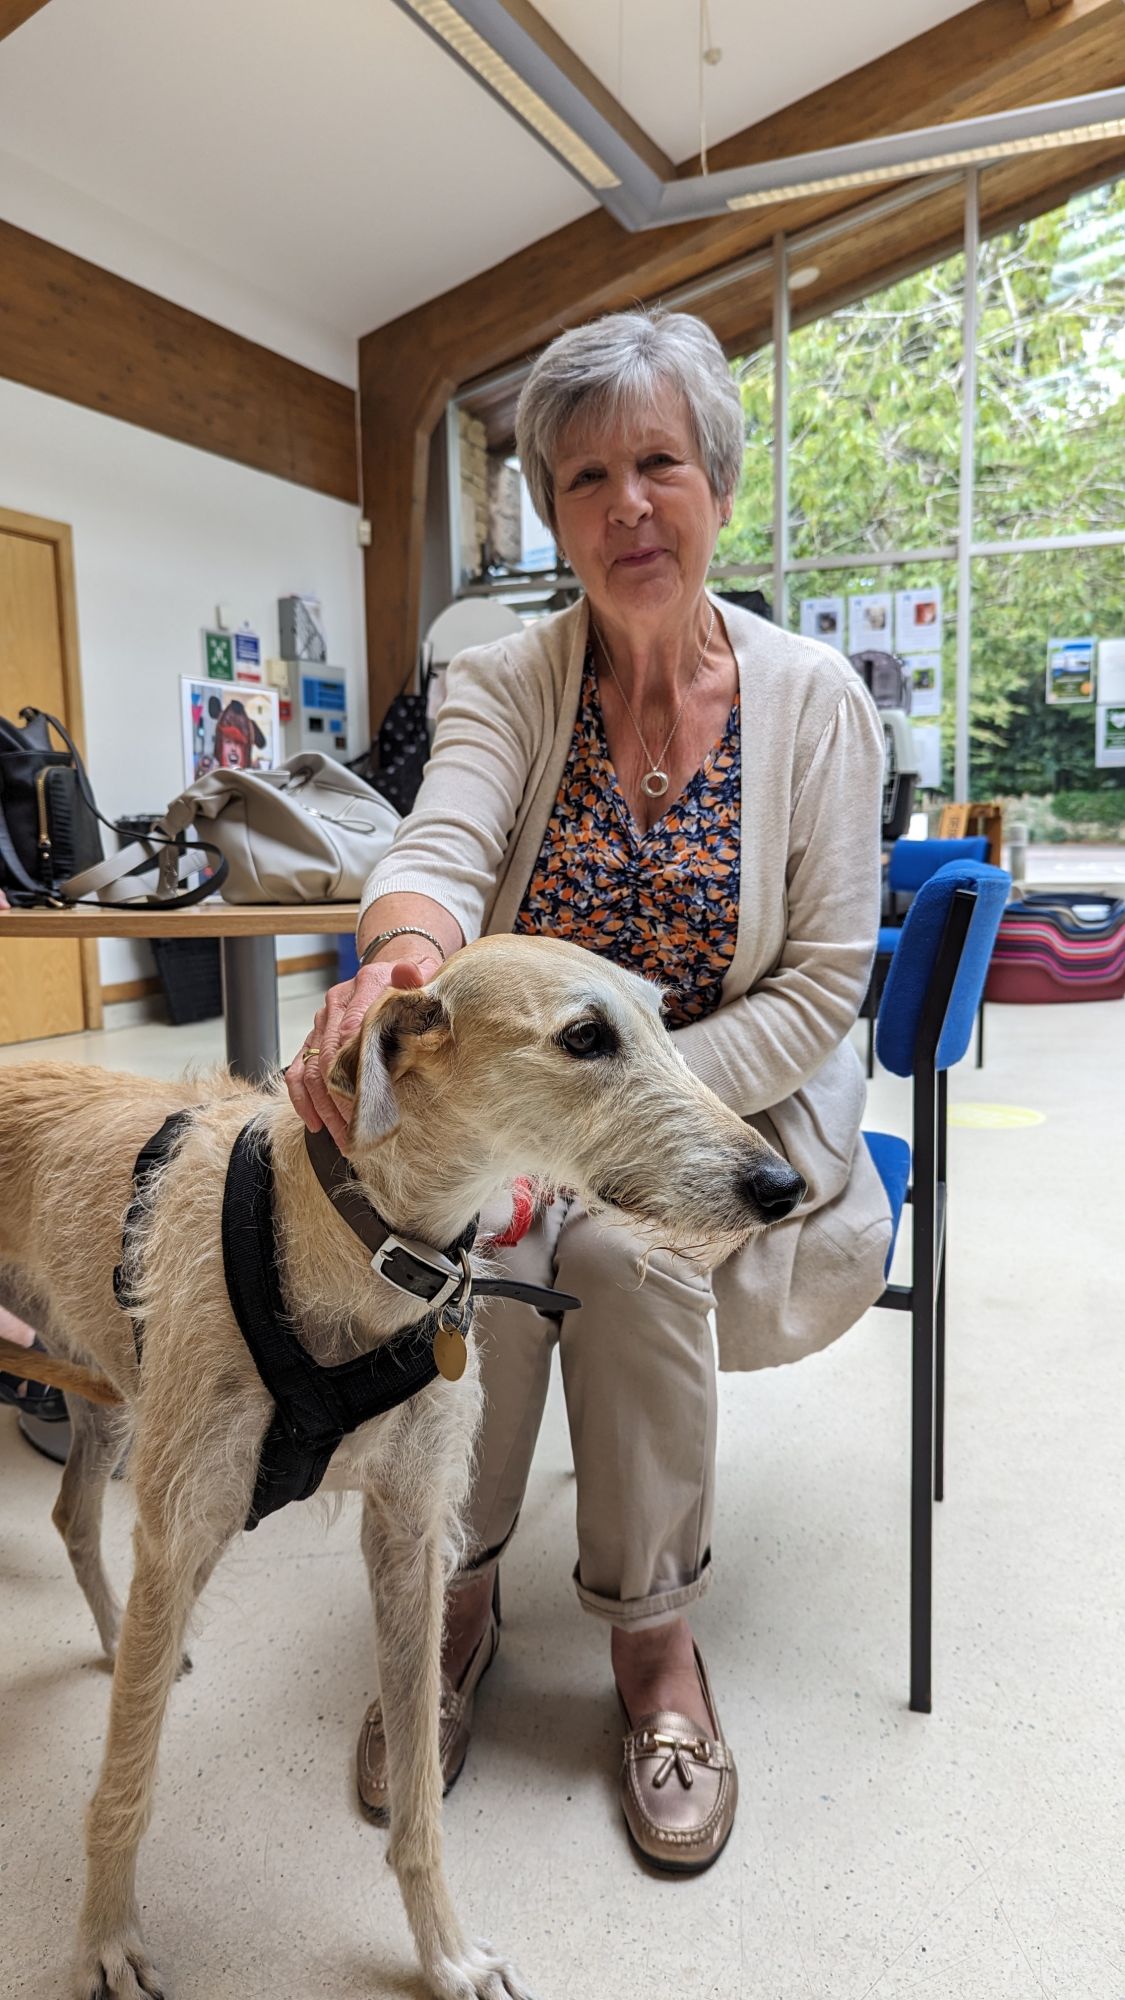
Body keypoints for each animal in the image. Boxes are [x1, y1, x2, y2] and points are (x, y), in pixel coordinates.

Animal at [2, 936, 804, 2000]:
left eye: (662, 1019)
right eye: (585, 1037)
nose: (780, 1186)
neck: (356, 1237)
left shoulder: (407, 1539)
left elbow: (420, 1792)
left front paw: (445, 1954)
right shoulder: (178, 1532)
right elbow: (126, 1779)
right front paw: (104, 1941)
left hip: (101, 1398)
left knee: (71, 1517)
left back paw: (121, 1633)